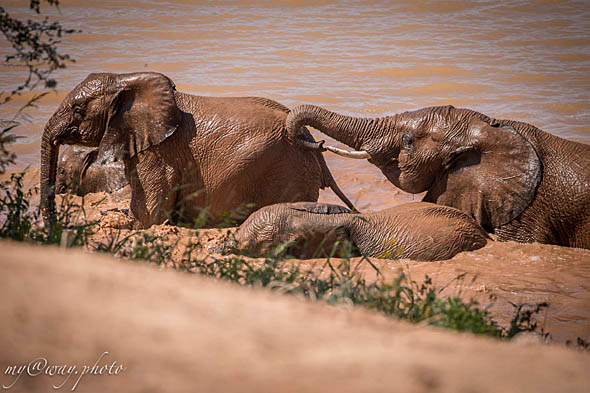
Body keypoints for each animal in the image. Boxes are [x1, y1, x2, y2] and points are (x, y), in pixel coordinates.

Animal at [42, 72, 356, 228]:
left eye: (78, 110)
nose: (53, 227)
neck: (128, 80)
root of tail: (310, 140)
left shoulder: (159, 153)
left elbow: (150, 216)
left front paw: (117, 222)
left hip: (286, 171)